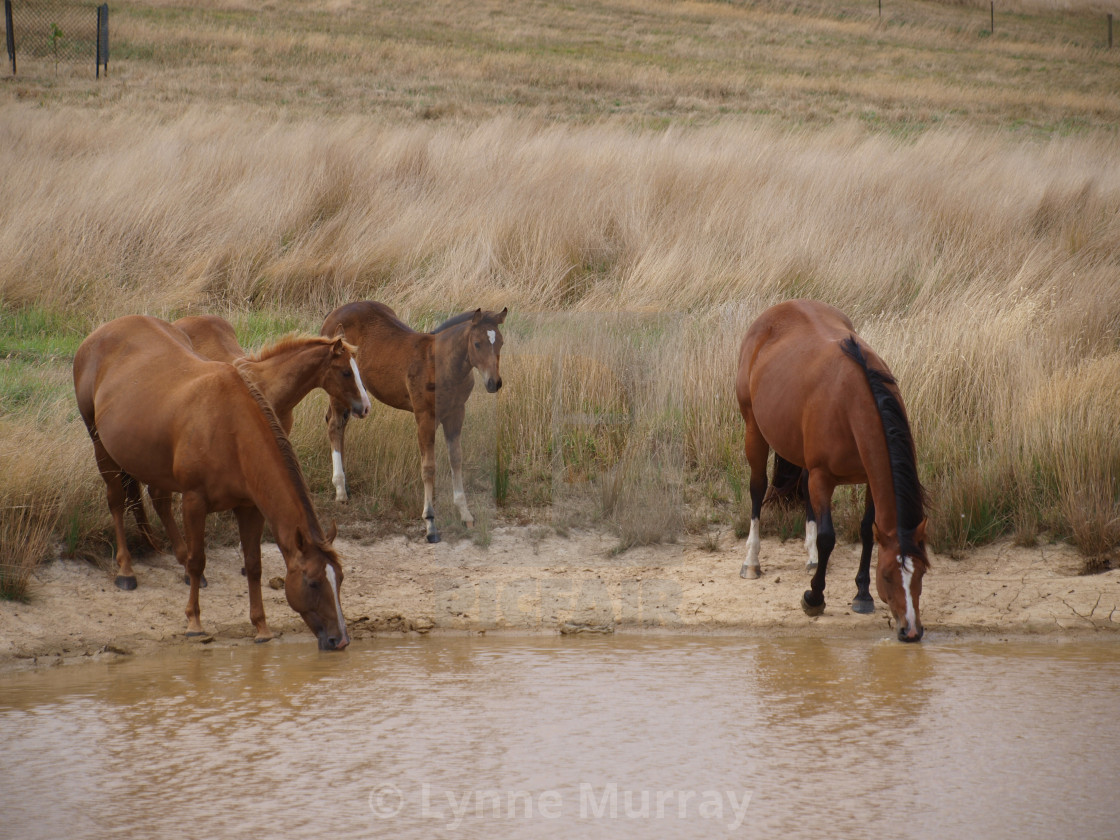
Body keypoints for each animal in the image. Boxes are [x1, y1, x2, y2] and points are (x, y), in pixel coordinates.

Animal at [73, 315, 349, 649]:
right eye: (313, 582)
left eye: (340, 579)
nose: (340, 640)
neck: (232, 431)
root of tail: (100, 333)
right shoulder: (194, 501)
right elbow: (198, 561)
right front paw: (194, 621)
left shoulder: (249, 507)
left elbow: (253, 565)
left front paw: (261, 626)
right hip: (99, 443)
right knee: (116, 500)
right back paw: (126, 569)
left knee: (154, 498)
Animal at [322, 302, 510, 546]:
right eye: (477, 343)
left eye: (501, 342)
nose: (494, 382)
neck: (442, 365)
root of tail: (333, 313)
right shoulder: (425, 417)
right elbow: (428, 468)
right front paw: (430, 524)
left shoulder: (456, 413)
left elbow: (456, 459)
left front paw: (465, 514)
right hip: (338, 389)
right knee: (335, 426)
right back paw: (340, 490)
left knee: (340, 426)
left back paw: (346, 486)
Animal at [734, 302, 927, 645]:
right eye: (888, 575)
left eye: (921, 573)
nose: (912, 630)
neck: (853, 402)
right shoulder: (823, 476)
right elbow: (828, 537)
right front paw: (814, 598)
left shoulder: (870, 478)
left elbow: (867, 530)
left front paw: (862, 594)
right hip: (754, 429)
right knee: (757, 489)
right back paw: (752, 562)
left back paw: (810, 558)